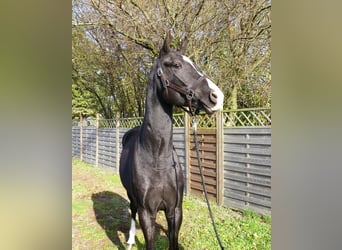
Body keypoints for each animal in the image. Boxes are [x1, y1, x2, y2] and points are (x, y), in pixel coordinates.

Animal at [119, 31, 224, 250]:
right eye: (175, 65)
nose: (217, 97)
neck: (157, 157)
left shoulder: (175, 210)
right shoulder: (147, 213)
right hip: (132, 196)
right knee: (132, 209)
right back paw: (131, 239)